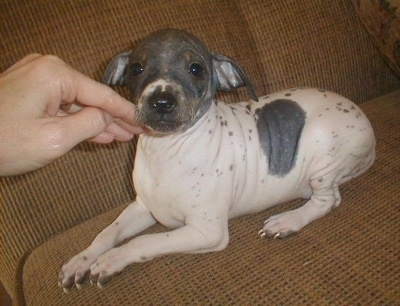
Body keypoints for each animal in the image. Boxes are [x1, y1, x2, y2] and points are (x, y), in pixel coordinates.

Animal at [58, 28, 376, 290]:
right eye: (137, 68)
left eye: (195, 69)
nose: (161, 101)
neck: (167, 149)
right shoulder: (144, 208)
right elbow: (107, 233)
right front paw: (82, 259)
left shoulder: (206, 231)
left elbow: (144, 240)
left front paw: (112, 260)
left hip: (322, 148)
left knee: (328, 201)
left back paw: (288, 220)